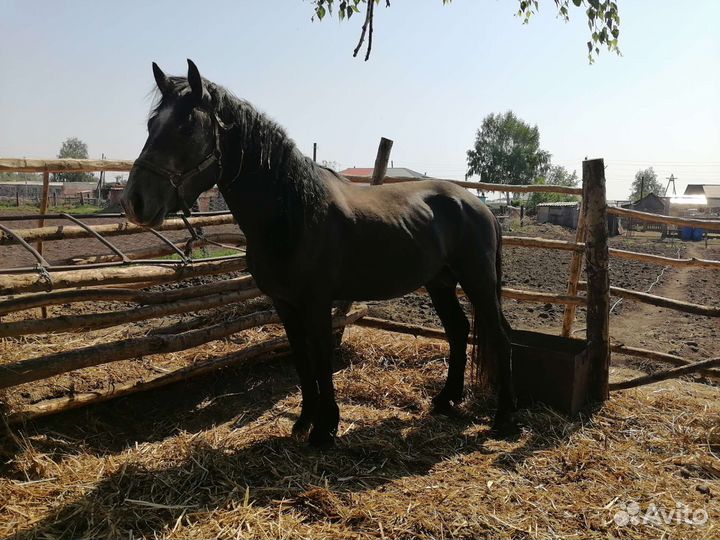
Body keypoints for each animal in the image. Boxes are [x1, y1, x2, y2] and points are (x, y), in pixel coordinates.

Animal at [121, 59, 516, 448]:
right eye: (151, 124)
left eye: (186, 127)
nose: (134, 201)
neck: (292, 213)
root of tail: (479, 206)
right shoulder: (284, 304)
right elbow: (301, 359)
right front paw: (304, 422)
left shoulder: (316, 302)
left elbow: (322, 359)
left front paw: (325, 429)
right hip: (440, 283)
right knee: (458, 330)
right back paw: (446, 400)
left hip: (477, 281)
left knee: (500, 335)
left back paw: (503, 421)